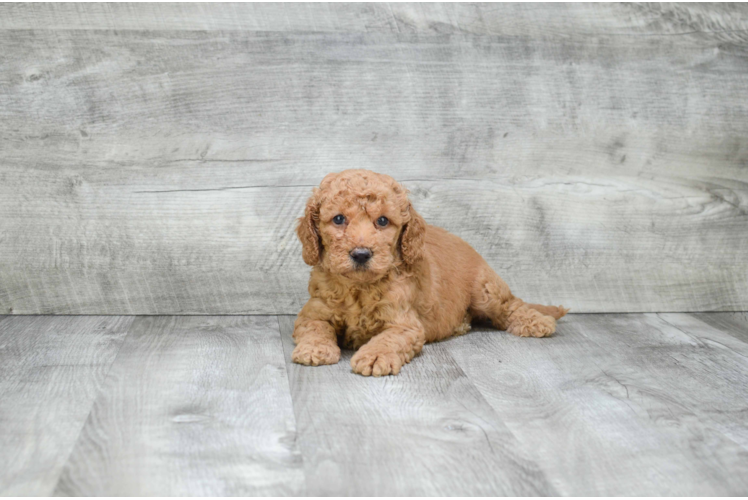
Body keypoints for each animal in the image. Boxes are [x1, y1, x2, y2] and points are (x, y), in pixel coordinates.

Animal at [292, 170, 568, 376]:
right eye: (338, 219)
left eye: (382, 221)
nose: (361, 254)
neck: (359, 288)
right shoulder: (313, 312)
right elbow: (315, 328)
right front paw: (314, 349)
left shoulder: (405, 324)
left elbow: (387, 339)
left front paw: (374, 356)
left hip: (485, 291)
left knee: (511, 305)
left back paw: (536, 321)